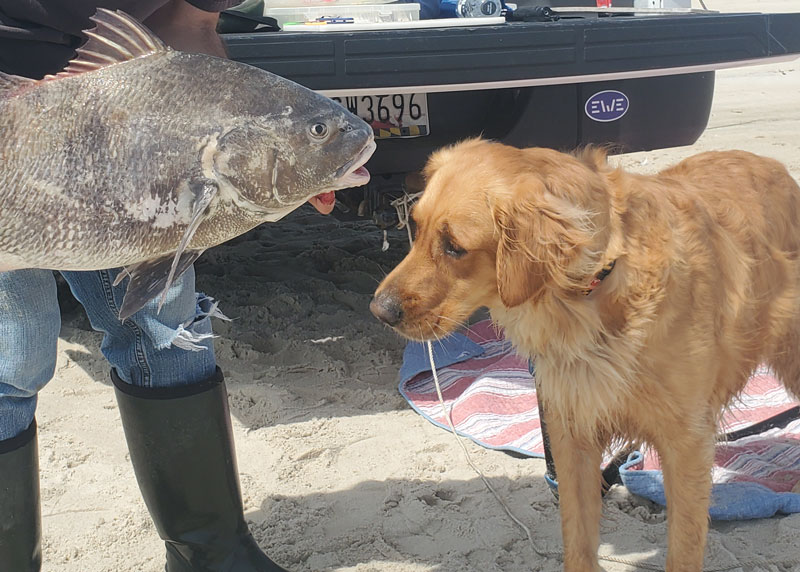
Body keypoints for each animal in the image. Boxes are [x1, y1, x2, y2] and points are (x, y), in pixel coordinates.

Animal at [372, 140, 800, 572]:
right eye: (417, 228)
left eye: (455, 247)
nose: (380, 311)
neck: (593, 289)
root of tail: (774, 165)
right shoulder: (572, 431)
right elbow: (577, 536)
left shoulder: (686, 443)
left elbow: (683, 546)